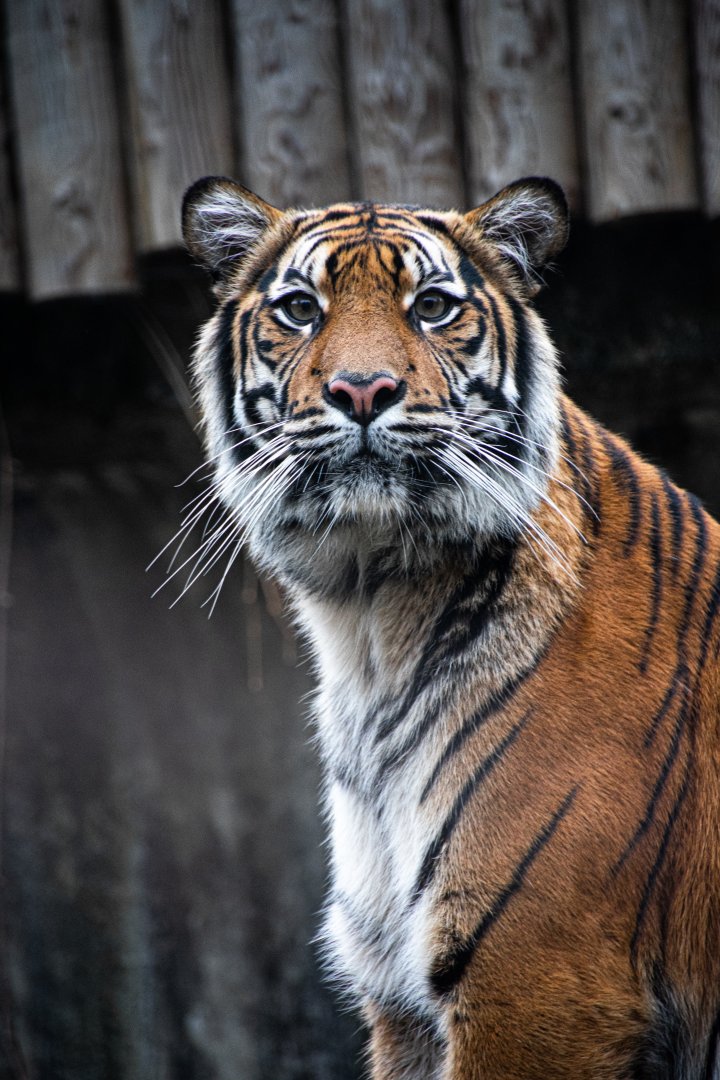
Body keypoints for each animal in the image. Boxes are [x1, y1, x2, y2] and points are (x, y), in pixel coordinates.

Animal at [179, 174, 720, 1079]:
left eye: (432, 306)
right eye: (300, 309)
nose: (362, 391)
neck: (368, 621)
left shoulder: (538, 985)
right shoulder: (402, 999)